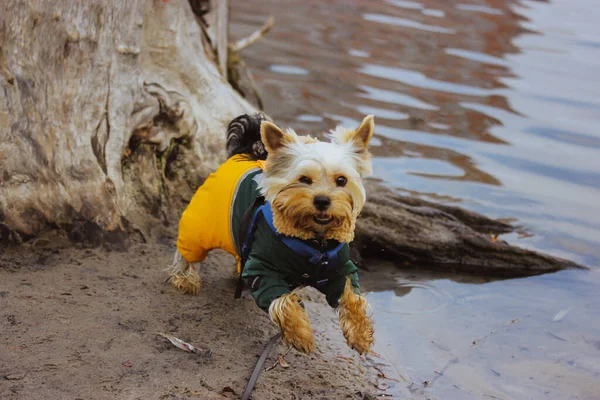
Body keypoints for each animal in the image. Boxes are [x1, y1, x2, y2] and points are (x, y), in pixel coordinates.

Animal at [169, 112, 376, 354]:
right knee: (188, 251)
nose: (322, 200)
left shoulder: (339, 270)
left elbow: (351, 297)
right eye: (304, 179)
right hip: (201, 222)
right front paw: (300, 335)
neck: (314, 241)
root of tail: (242, 152)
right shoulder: (263, 270)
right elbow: (284, 303)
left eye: (342, 180)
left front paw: (360, 334)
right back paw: (185, 279)